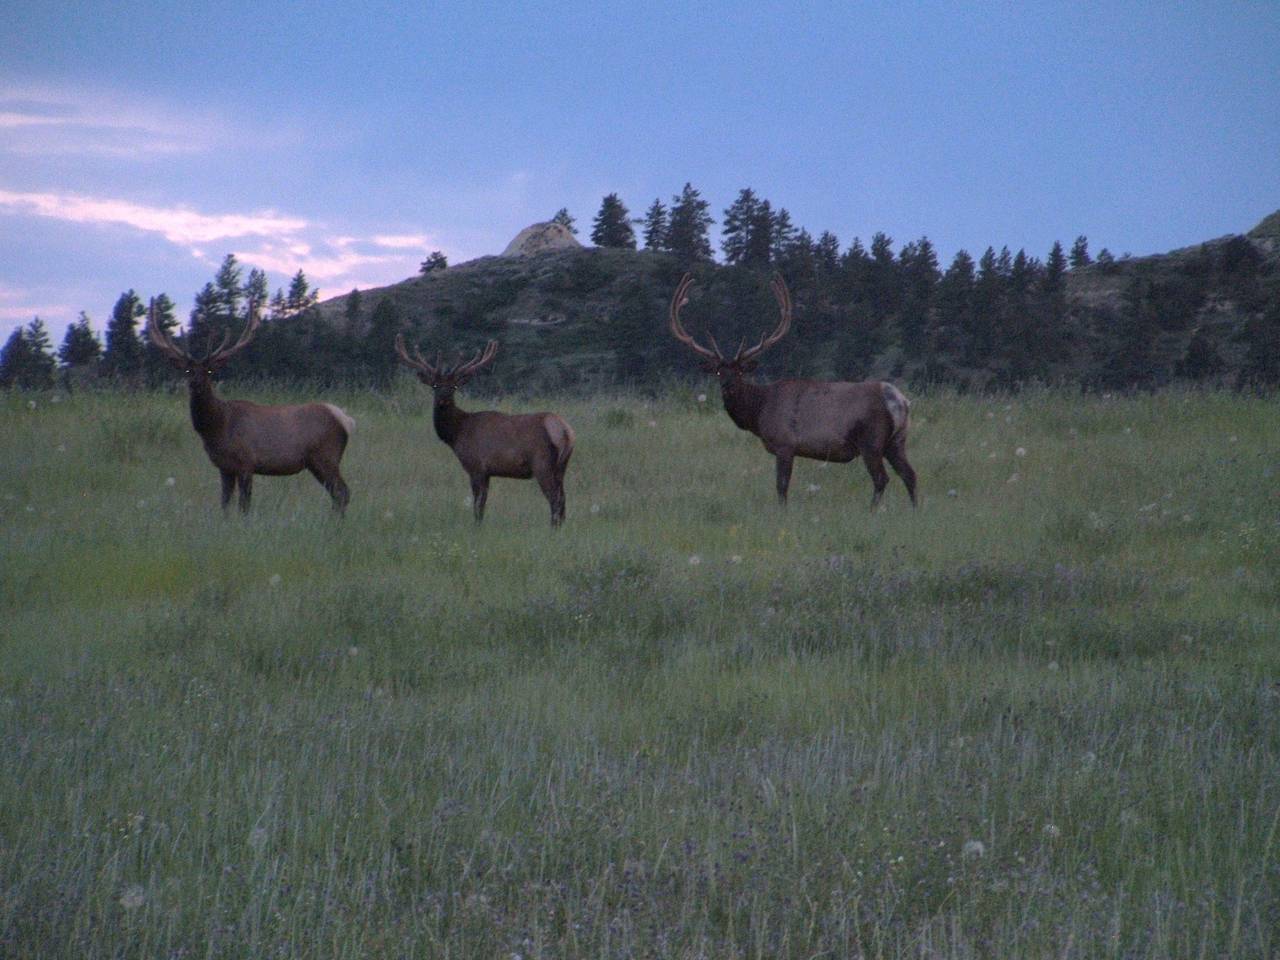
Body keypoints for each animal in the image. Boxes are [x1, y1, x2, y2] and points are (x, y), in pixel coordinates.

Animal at [147, 300, 353, 514]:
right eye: (188, 370)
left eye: (209, 371)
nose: (196, 384)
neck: (218, 427)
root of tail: (345, 420)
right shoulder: (224, 467)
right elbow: (225, 503)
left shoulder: (246, 462)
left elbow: (244, 505)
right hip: (317, 462)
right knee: (338, 493)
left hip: (326, 456)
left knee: (342, 492)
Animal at [391, 335, 578, 529]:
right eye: (435, 386)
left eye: (454, 387)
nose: (443, 400)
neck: (457, 434)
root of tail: (564, 430)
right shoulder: (487, 472)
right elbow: (483, 502)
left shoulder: (476, 466)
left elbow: (478, 504)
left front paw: (477, 526)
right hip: (562, 466)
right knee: (563, 497)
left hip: (542, 463)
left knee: (555, 498)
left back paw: (552, 528)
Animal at [670, 272, 921, 512]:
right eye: (719, 372)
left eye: (740, 372)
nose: (728, 387)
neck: (759, 411)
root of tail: (899, 400)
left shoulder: (785, 444)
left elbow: (781, 486)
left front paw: (782, 513)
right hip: (896, 440)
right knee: (910, 474)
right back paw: (914, 511)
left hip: (871, 439)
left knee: (881, 478)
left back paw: (871, 512)